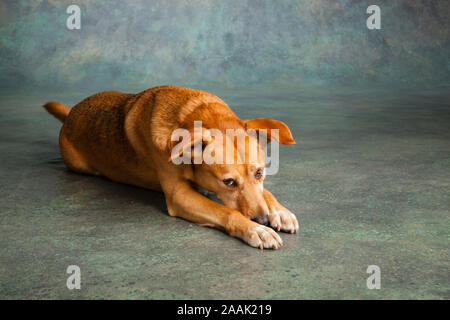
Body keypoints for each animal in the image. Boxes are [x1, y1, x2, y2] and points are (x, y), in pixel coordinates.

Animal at [44, 85, 298, 250]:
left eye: (260, 173)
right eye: (229, 182)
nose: (262, 220)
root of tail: (71, 112)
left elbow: (265, 193)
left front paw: (279, 211)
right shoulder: (179, 195)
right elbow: (227, 211)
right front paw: (256, 230)